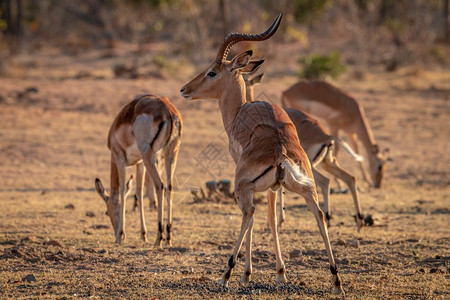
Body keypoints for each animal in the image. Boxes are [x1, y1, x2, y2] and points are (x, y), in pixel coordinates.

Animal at [94, 94, 182, 246]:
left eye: (107, 212)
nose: (115, 234)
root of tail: (168, 111)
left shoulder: (119, 158)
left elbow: (123, 190)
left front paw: (120, 235)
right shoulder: (140, 163)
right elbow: (139, 193)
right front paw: (143, 235)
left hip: (149, 156)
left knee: (160, 186)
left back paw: (158, 239)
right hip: (171, 153)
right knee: (170, 188)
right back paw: (168, 238)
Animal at [181, 13, 342, 292]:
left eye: (212, 72)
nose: (184, 90)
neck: (239, 111)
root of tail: (281, 152)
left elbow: (257, 219)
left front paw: (247, 274)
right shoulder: (275, 187)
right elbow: (273, 220)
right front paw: (280, 272)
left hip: (243, 188)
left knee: (249, 215)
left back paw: (226, 275)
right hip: (306, 187)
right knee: (319, 215)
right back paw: (336, 280)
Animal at [246, 74, 366, 230]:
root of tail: (327, 137)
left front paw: (277, 221)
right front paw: (280, 220)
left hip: (311, 168)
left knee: (325, 181)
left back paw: (329, 219)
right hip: (327, 163)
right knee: (350, 178)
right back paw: (359, 220)